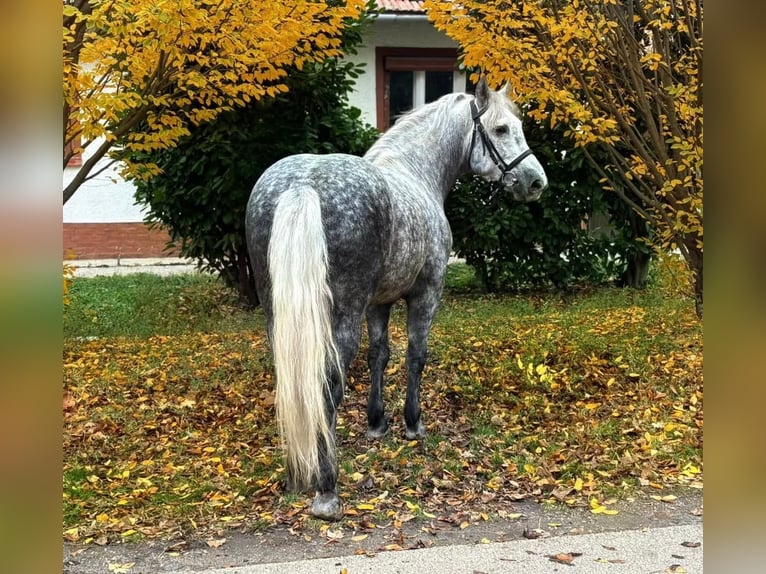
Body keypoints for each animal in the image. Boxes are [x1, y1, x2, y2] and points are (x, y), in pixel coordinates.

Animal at [244, 78, 547, 520]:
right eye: (501, 129)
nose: (535, 182)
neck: (415, 171)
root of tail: (303, 185)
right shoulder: (427, 294)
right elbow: (415, 355)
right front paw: (411, 423)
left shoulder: (379, 304)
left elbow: (380, 355)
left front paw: (376, 423)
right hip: (341, 319)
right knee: (326, 387)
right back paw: (326, 489)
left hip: (278, 317)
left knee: (293, 384)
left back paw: (296, 473)